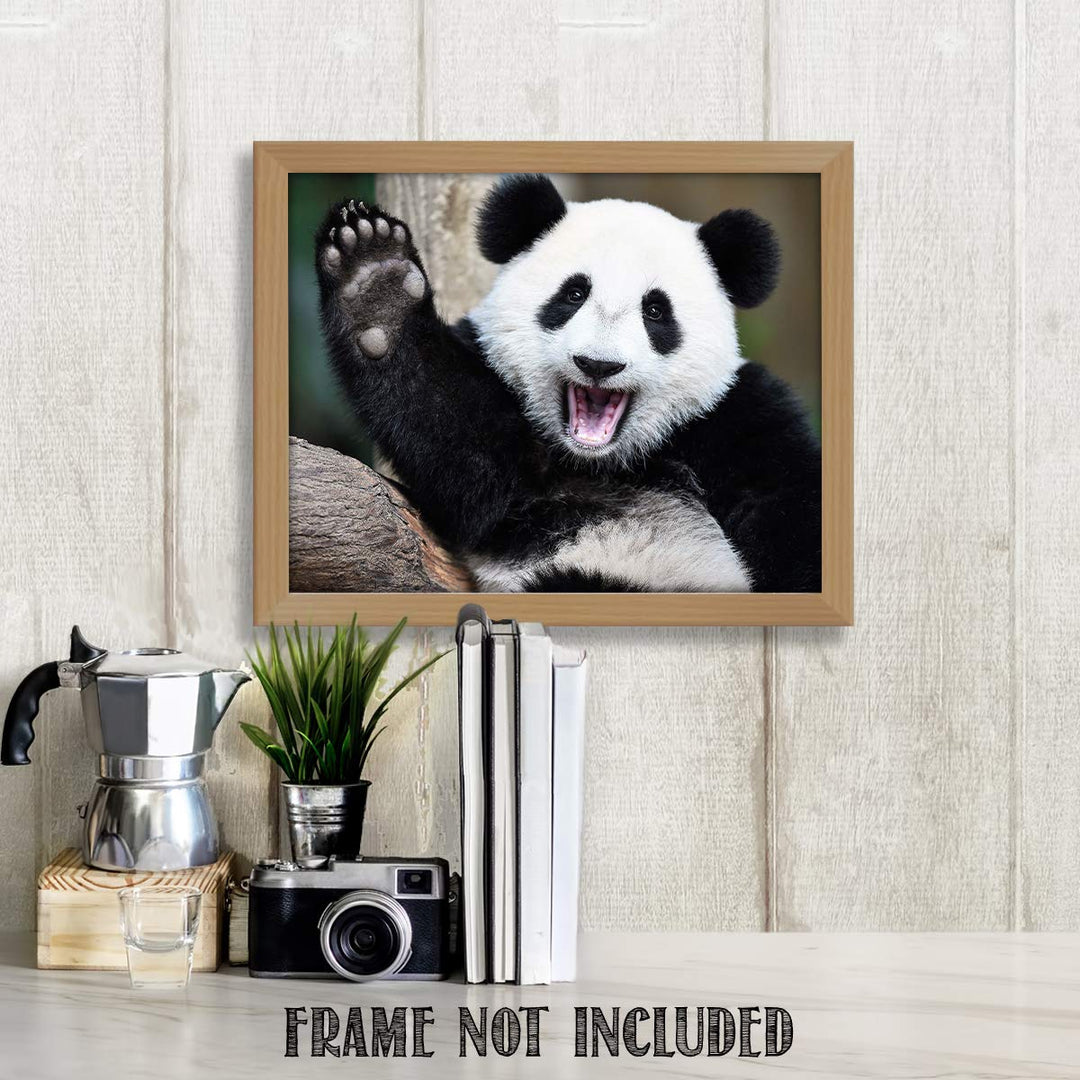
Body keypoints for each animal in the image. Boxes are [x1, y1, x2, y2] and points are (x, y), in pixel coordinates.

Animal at [314, 174, 820, 593]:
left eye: (656, 311)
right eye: (574, 294)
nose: (598, 364)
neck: (604, 463)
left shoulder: (737, 416)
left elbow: (789, 512)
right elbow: (465, 456)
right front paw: (376, 283)